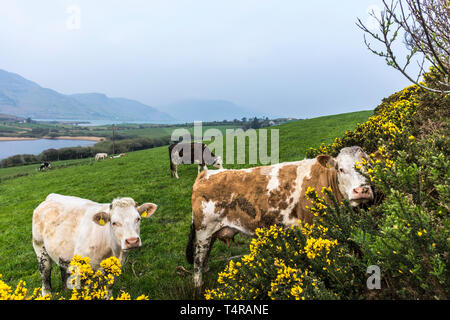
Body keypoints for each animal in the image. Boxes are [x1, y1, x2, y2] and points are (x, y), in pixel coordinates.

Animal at [186, 146, 372, 288]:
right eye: (341, 169)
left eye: (369, 166)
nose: (361, 190)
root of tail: (205, 175)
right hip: (203, 230)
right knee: (198, 261)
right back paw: (198, 286)